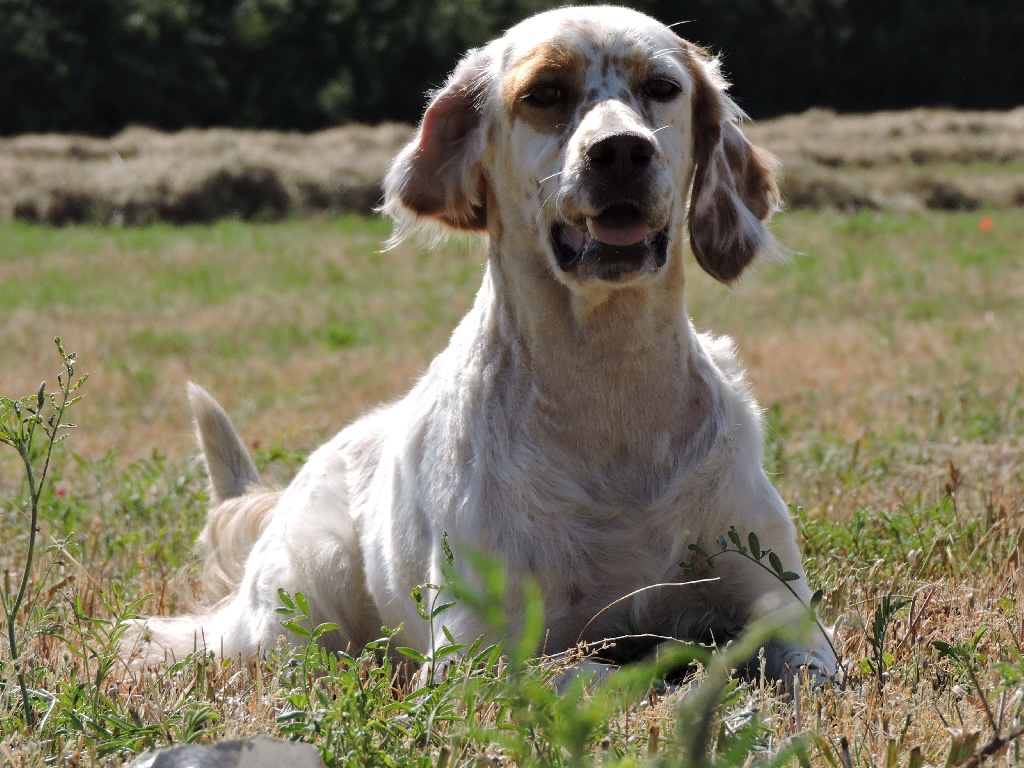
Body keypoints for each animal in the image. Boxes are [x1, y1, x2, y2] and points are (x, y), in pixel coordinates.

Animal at [123, 4, 835, 679]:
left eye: (662, 87)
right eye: (545, 93)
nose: (622, 151)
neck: (610, 395)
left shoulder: (786, 608)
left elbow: (807, 672)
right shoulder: (473, 655)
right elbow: (588, 675)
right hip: (302, 602)